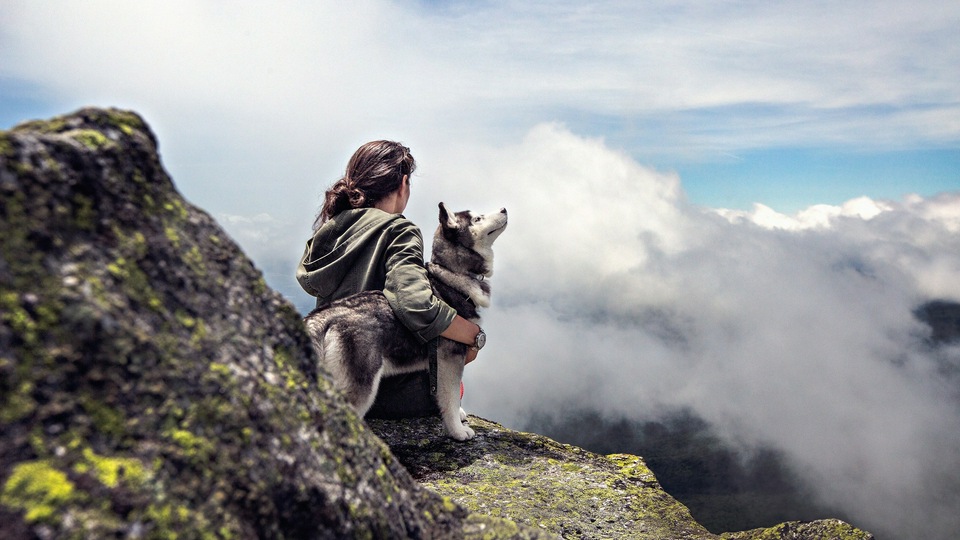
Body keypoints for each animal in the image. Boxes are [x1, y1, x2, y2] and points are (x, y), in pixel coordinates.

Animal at [304, 202, 506, 438]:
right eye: (477, 219)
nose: (504, 209)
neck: (450, 275)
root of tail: (322, 316)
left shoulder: (437, 365)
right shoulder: (450, 358)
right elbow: (450, 397)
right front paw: (457, 431)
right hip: (361, 384)